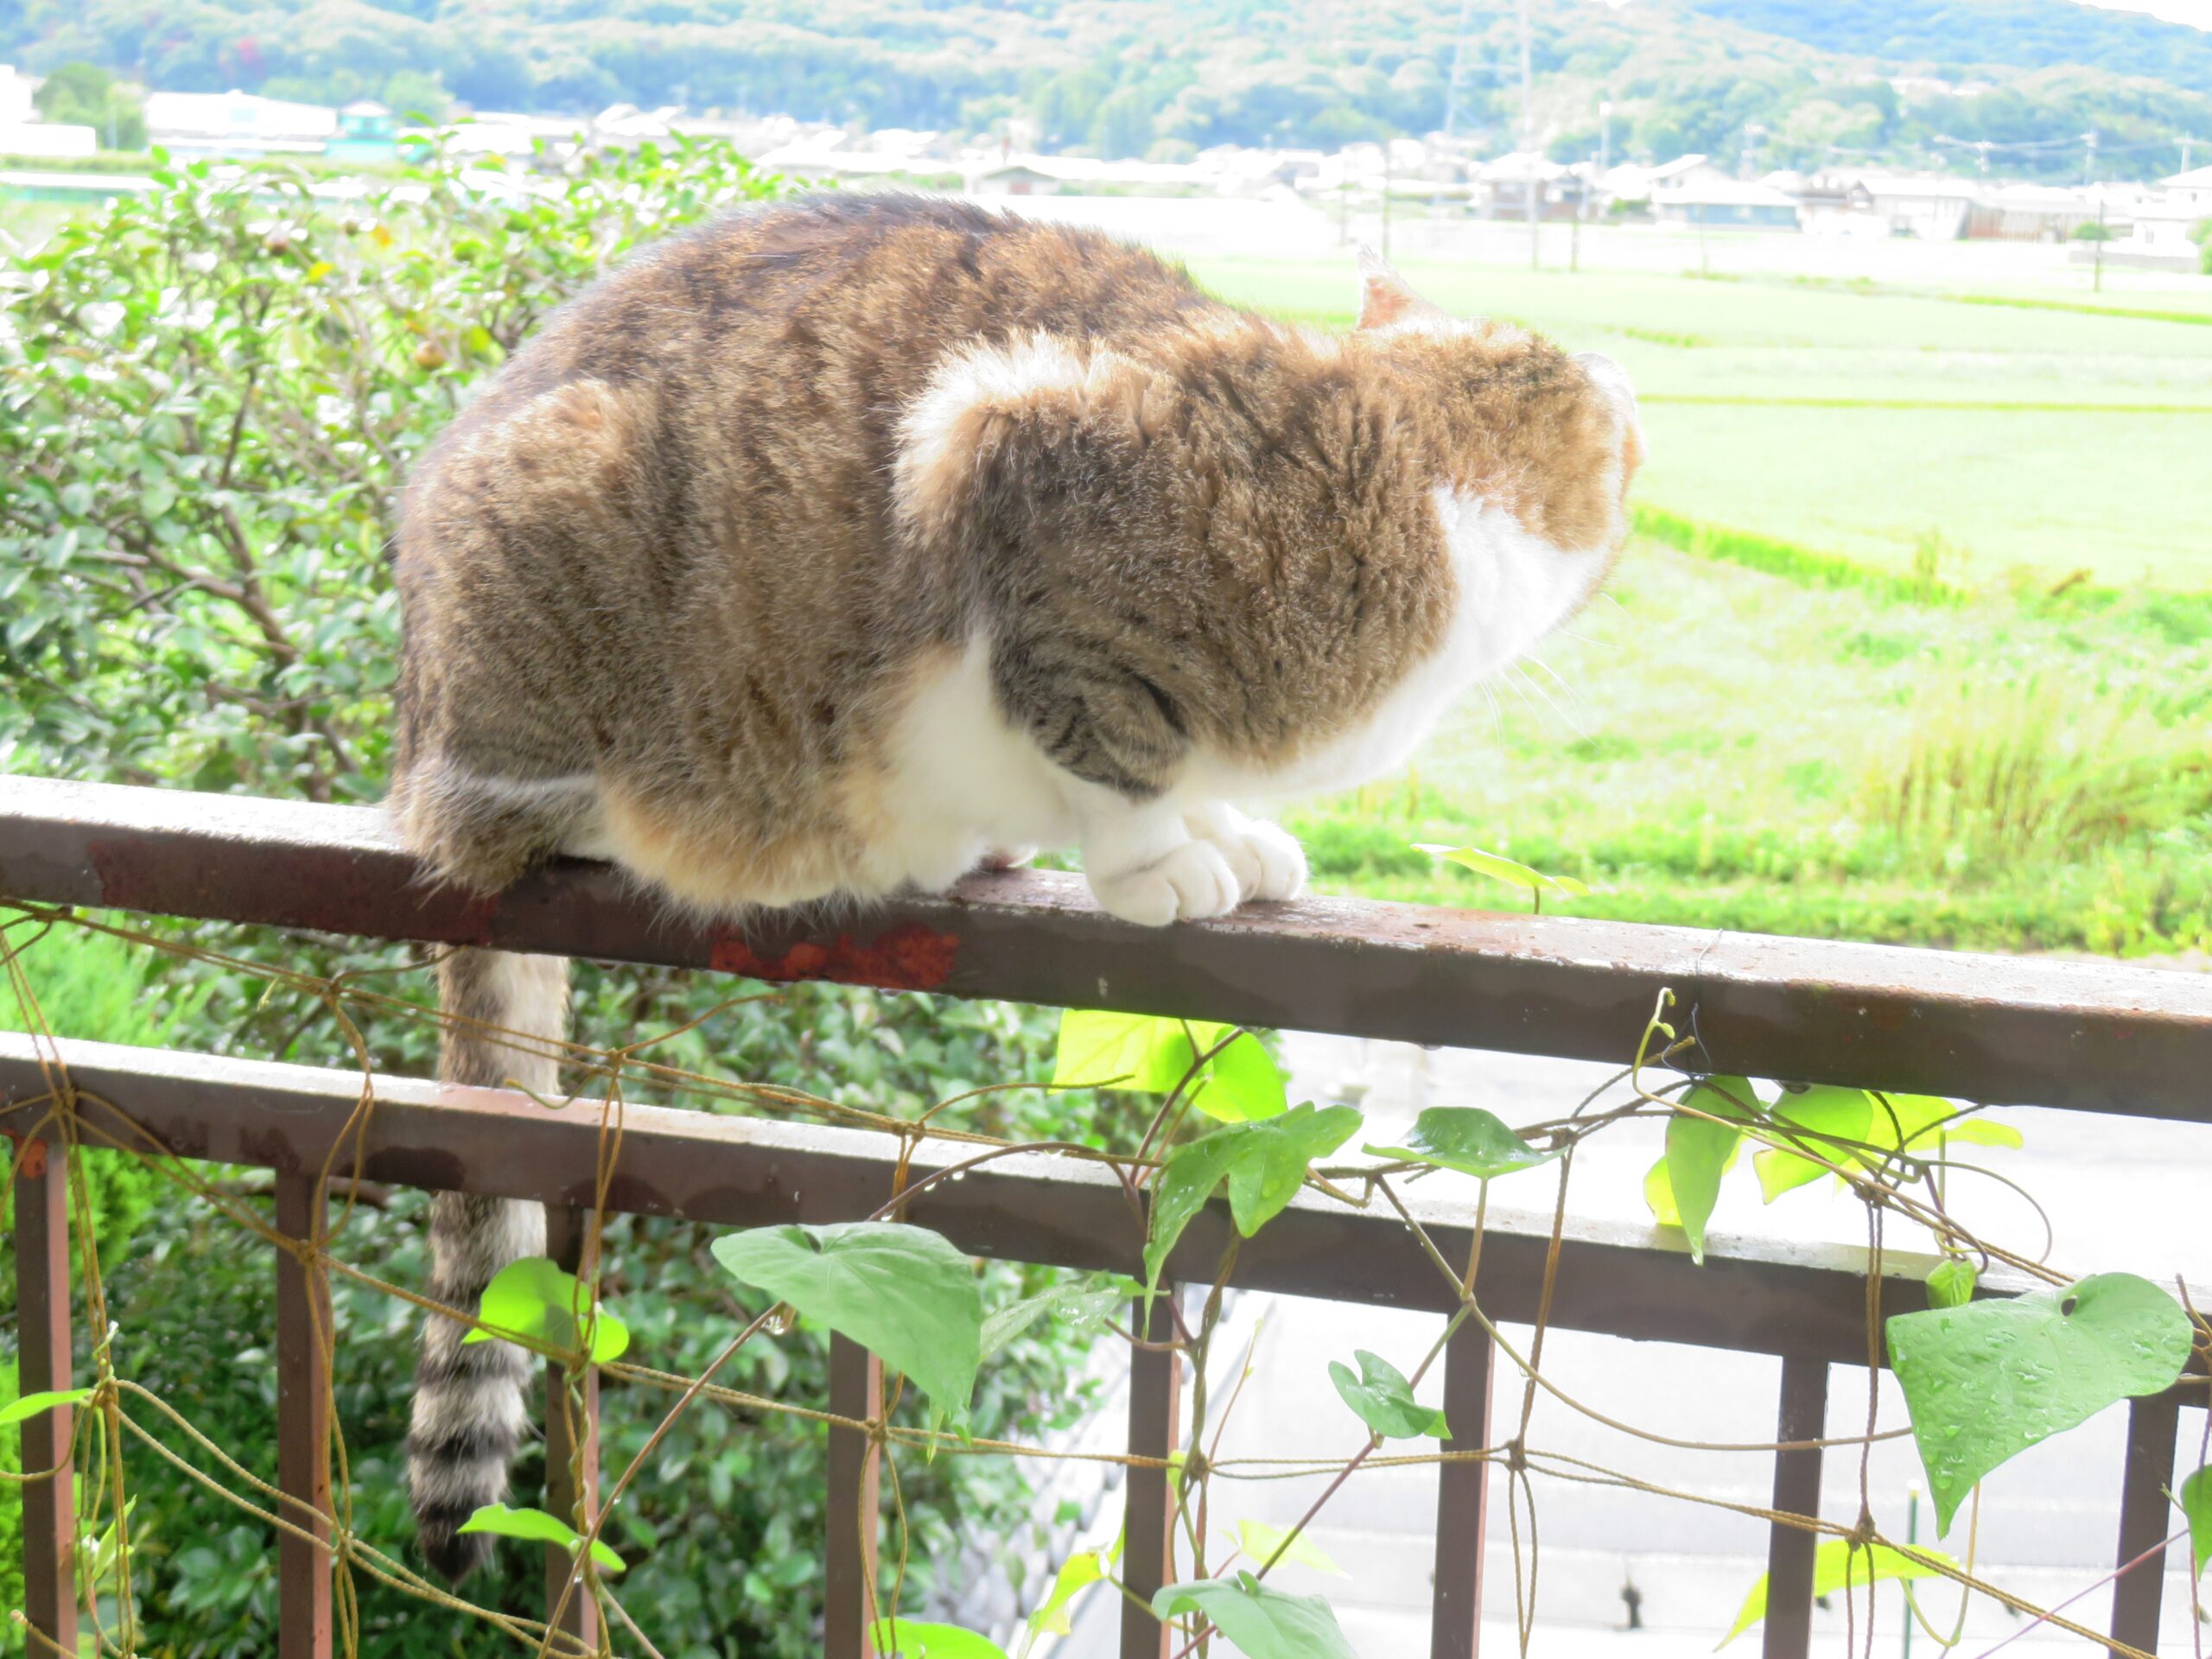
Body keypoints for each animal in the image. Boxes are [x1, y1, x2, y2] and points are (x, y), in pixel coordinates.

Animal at [389, 188, 1645, 1574]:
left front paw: (1233, 832)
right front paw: (1155, 859)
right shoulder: (1009, 462)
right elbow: (1120, 749)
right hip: (563, 592)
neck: (1424, 449)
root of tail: (417, 729)